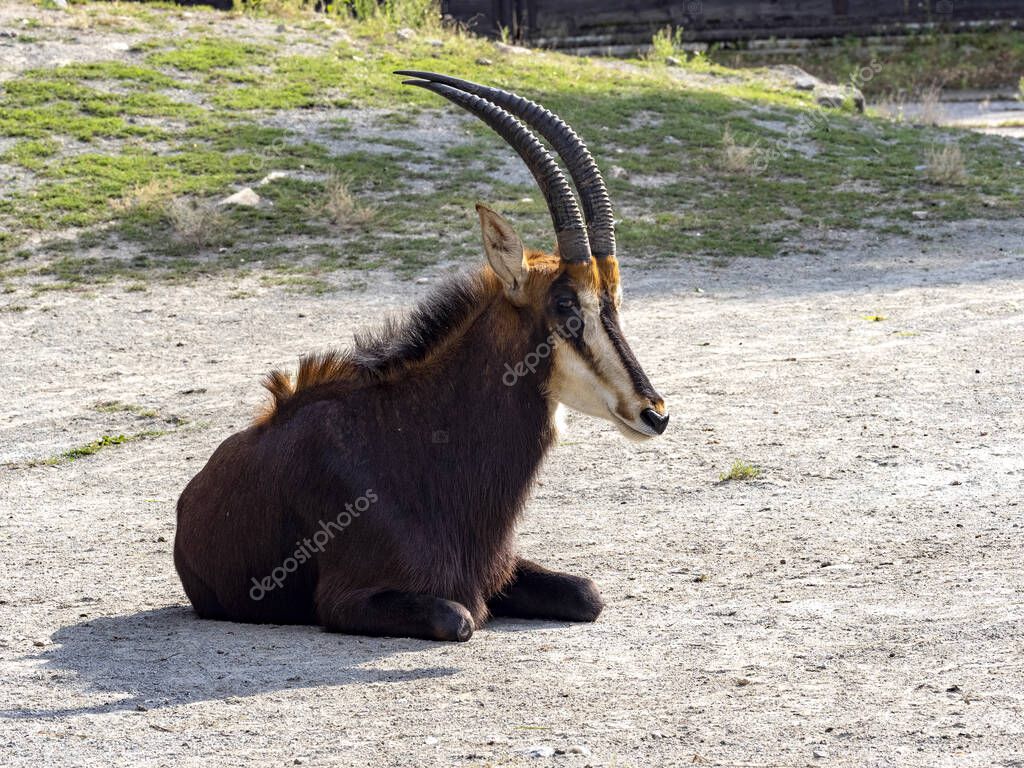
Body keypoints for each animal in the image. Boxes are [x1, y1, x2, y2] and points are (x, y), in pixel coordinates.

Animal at [174, 70, 671, 643]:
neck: (419, 438)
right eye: (565, 304)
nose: (654, 413)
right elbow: (459, 618)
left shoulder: (498, 570)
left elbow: (588, 594)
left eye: (615, 298)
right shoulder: (346, 602)